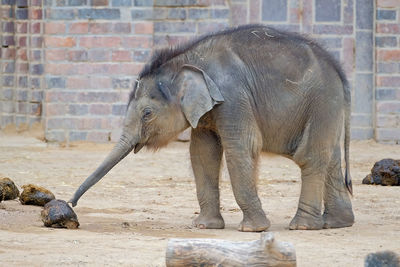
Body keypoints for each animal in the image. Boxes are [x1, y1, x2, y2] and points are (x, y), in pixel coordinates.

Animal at [70, 23, 354, 232]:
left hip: (321, 101)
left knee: (310, 156)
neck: (187, 60)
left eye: (147, 114)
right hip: (326, 108)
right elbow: (202, 153)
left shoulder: (233, 95)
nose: (71, 203)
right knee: (330, 157)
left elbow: (241, 147)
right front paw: (204, 227)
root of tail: (340, 72)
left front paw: (254, 230)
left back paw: (302, 227)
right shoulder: (206, 110)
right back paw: (336, 223)